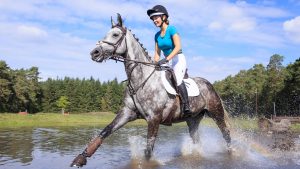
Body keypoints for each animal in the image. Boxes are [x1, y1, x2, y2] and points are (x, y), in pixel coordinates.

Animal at [71, 13, 232, 167]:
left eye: (115, 35)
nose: (95, 53)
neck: (140, 80)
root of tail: (209, 84)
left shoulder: (154, 119)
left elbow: (148, 151)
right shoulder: (126, 113)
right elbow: (104, 132)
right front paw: (80, 158)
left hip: (216, 113)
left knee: (226, 134)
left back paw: (231, 153)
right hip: (192, 119)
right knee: (196, 140)